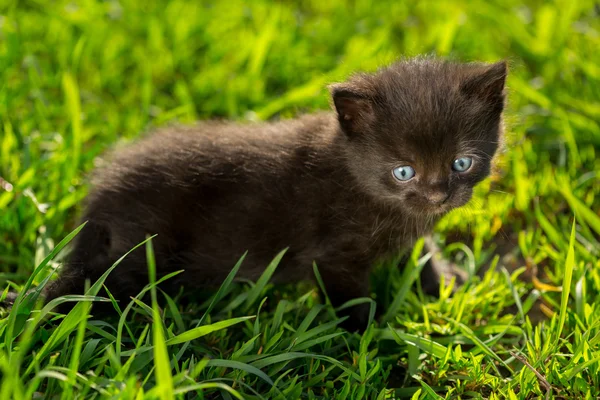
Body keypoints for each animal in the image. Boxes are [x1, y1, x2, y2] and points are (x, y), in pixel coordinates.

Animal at [39, 57, 506, 332]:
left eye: (461, 163)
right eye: (404, 171)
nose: (438, 196)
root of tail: (101, 194)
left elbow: (420, 251)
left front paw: (445, 284)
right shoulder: (333, 257)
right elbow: (353, 302)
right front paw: (373, 343)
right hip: (139, 252)